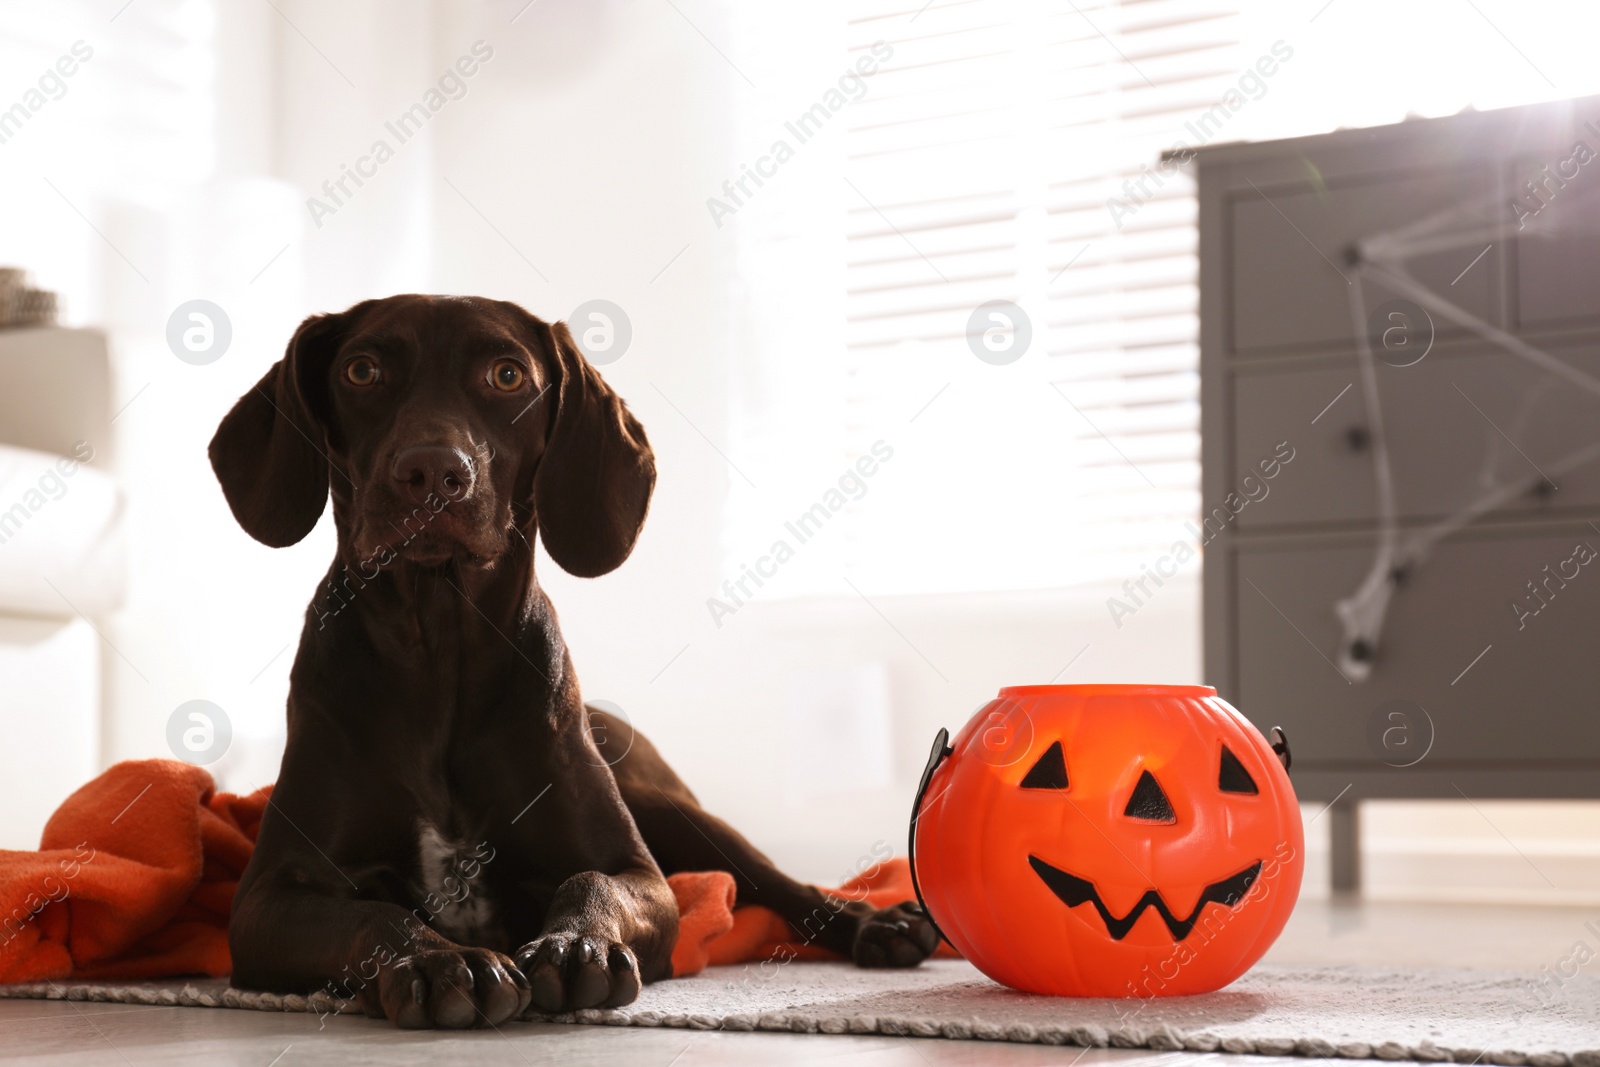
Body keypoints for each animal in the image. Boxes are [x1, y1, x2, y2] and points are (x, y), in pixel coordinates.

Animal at [211, 295, 934, 1030]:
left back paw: (879, 922)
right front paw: (442, 960)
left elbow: (591, 883)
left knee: (784, 884)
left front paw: (575, 944)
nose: (433, 473)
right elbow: (379, 915)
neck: (440, 648)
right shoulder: (268, 899)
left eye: (507, 375)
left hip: (674, 811)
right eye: (361, 370)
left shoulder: (639, 872)